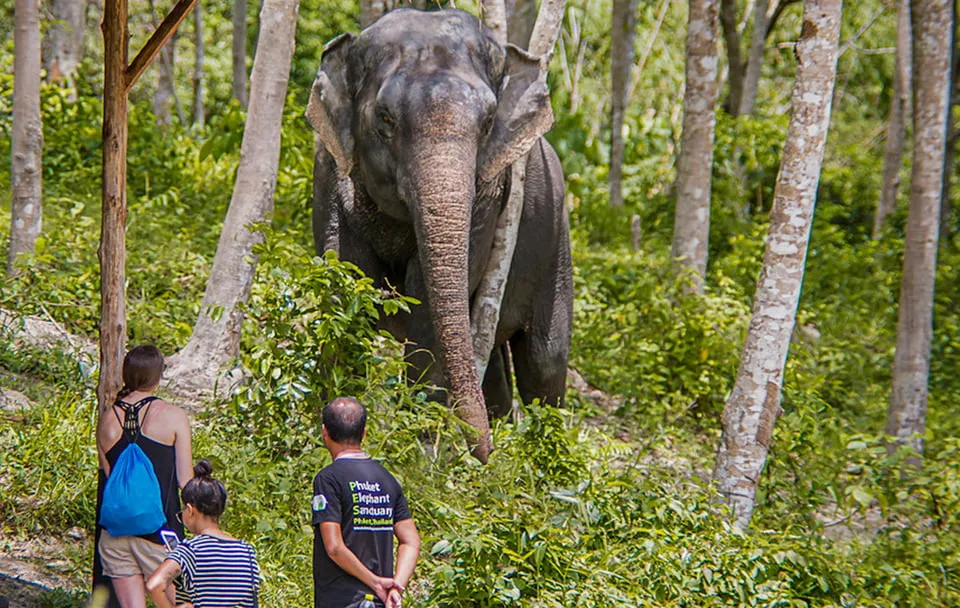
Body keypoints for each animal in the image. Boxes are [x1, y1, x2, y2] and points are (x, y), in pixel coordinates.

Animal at [305, 8, 572, 461]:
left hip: (556, 242)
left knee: (544, 358)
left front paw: (420, 448)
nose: (482, 454)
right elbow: (343, 287)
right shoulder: (328, 172)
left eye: (488, 122)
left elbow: (427, 302)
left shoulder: (489, 196)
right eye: (385, 117)